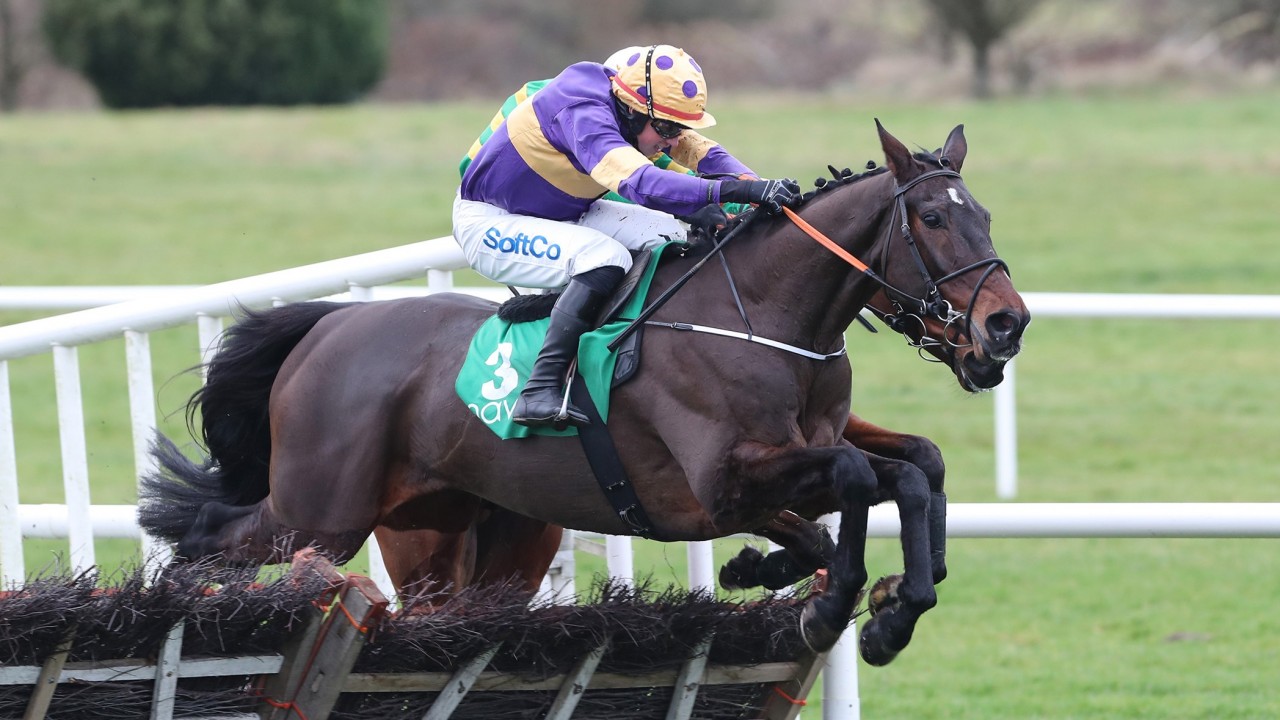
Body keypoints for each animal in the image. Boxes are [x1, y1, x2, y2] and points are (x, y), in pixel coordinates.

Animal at [138, 121, 1029, 663]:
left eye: (985, 213)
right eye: (934, 221)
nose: (1005, 325)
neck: (763, 314)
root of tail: (327, 329)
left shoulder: (805, 445)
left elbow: (917, 465)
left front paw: (886, 598)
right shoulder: (719, 481)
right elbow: (858, 478)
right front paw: (836, 602)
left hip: (455, 529)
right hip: (320, 510)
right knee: (209, 535)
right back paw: (178, 609)